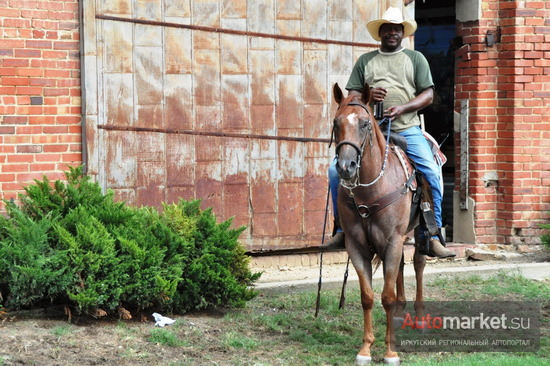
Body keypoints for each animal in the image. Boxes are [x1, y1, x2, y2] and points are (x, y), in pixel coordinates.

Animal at [330, 81, 430, 364]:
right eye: (336, 123)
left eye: (365, 123)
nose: (346, 167)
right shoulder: (356, 245)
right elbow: (367, 296)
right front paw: (365, 349)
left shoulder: (393, 239)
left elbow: (386, 296)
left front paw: (390, 351)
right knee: (402, 267)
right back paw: (400, 313)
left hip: (418, 231)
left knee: (418, 263)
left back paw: (419, 316)